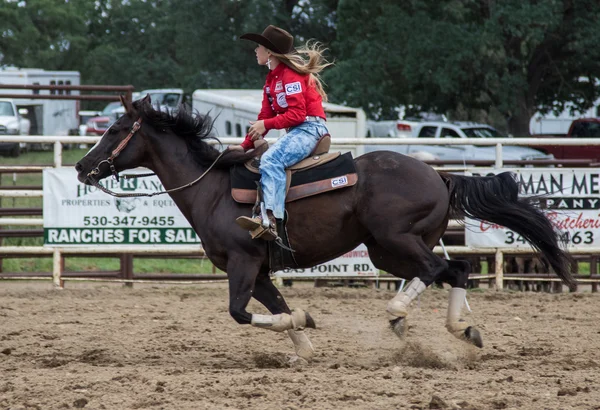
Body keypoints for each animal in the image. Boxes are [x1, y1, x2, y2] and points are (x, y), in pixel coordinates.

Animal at [75, 95, 576, 358]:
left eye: (115, 129)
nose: (81, 167)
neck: (212, 189)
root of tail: (440, 174)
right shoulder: (260, 271)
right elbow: (276, 309)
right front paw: (304, 344)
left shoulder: (242, 263)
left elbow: (240, 312)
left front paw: (304, 321)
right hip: (390, 248)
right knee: (456, 270)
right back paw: (462, 331)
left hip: (395, 240)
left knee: (437, 270)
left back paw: (398, 315)